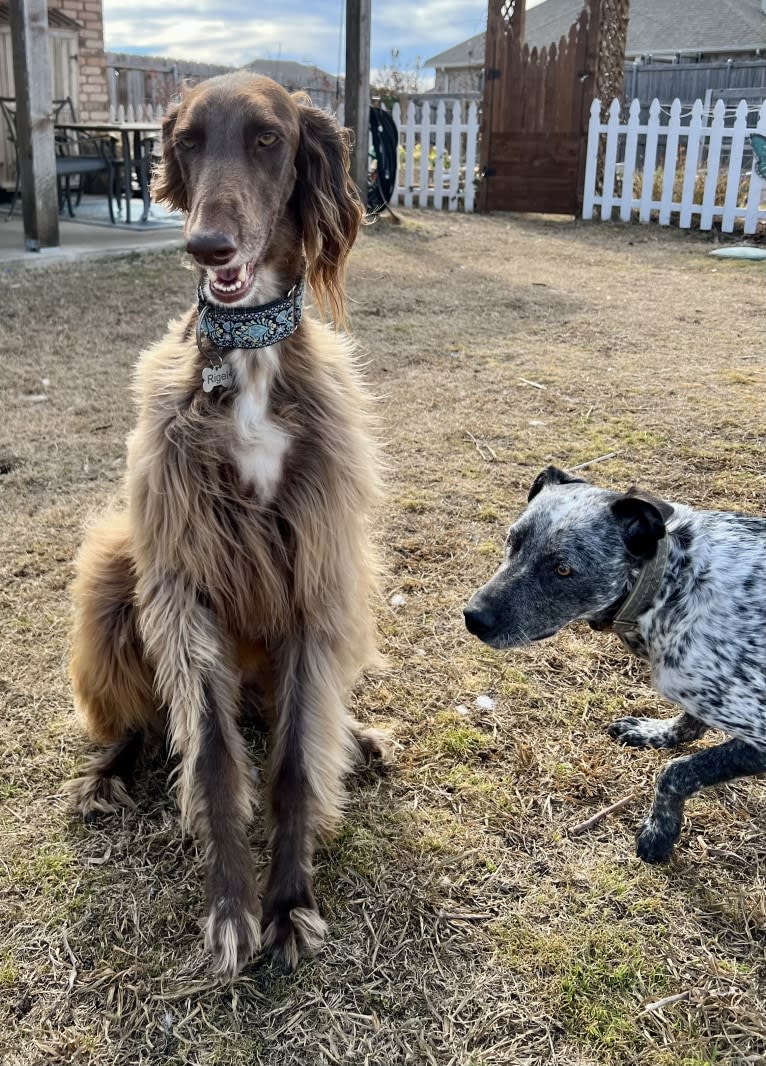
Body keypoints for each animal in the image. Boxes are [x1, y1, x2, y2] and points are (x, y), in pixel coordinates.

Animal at [66, 73, 389, 976]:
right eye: (187, 141)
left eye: (268, 139)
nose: (207, 246)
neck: (246, 362)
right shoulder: (183, 574)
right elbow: (210, 756)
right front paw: (232, 906)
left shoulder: (319, 568)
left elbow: (295, 763)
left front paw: (289, 902)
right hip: (117, 563)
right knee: (145, 721)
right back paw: (108, 772)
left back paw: (359, 738)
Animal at [464, 469, 762, 865]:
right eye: (512, 541)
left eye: (563, 568)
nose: (472, 618)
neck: (672, 583)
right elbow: (689, 724)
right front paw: (653, 733)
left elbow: (674, 772)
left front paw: (659, 834)